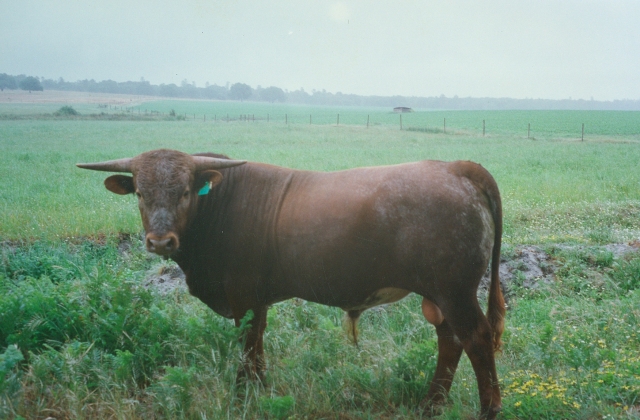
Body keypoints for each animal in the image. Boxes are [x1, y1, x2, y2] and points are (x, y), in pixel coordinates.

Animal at [77, 149, 504, 418]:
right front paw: (260, 387)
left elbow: (248, 344)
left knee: (476, 339)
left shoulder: (243, 296)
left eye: (184, 191)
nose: (160, 241)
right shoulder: (258, 299)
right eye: (140, 193)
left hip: (456, 292)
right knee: (450, 342)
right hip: (441, 296)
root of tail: (456, 167)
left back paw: (488, 409)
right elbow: (258, 344)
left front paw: (243, 394)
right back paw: (431, 404)